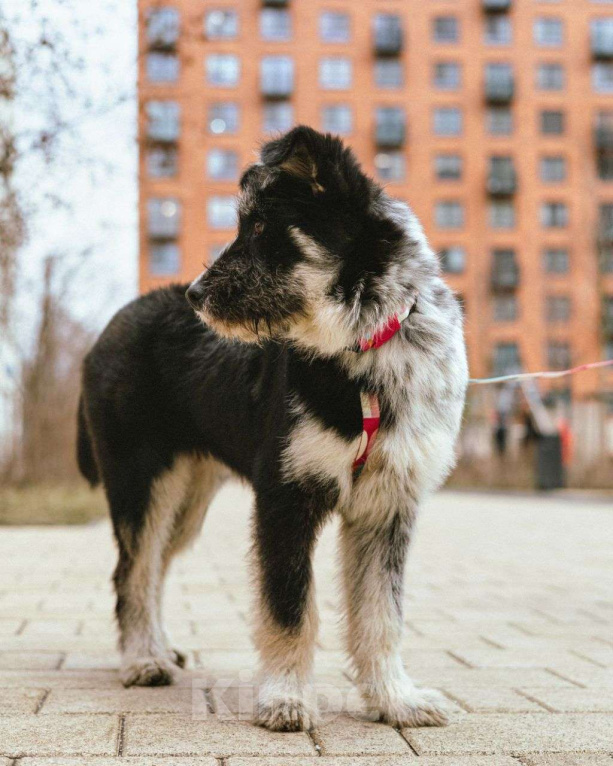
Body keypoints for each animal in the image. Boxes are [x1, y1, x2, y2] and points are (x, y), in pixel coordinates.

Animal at [79, 129, 466, 736]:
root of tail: (107, 331)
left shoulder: (387, 506)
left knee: (153, 569)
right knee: (131, 575)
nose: (195, 294)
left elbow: (382, 614)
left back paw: (160, 650)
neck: (366, 348)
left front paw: (395, 699)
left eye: (262, 228)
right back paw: (142, 660)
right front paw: (285, 698)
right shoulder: (287, 496)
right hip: (141, 484)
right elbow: (289, 608)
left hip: (185, 501)